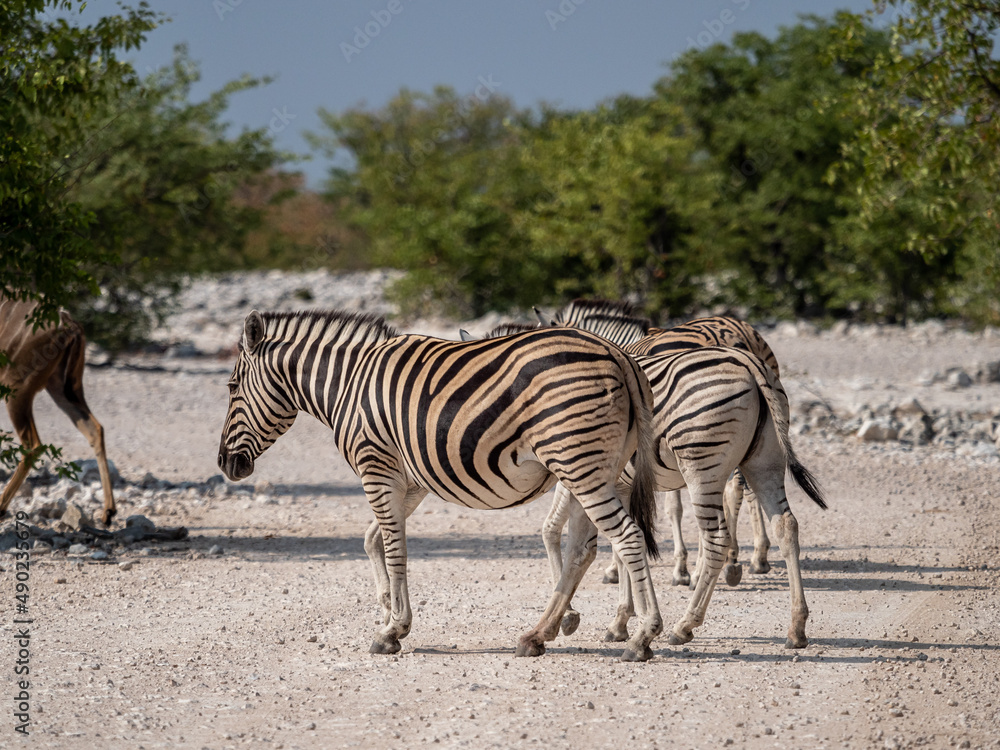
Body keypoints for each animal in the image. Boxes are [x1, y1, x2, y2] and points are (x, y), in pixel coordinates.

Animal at [217, 308, 664, 660]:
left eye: (232, 387)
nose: (225, 464)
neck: (349, 383)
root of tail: (617, 353)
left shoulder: (376, 466)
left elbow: (395, 548)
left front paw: (392, 630)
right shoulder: (412, 481)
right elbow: (373, 539)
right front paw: (387, 609)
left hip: (578, 464)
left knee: (627, 537)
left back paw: (642, 637)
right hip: (596, 468)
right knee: (582, 550)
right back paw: (538, 635)